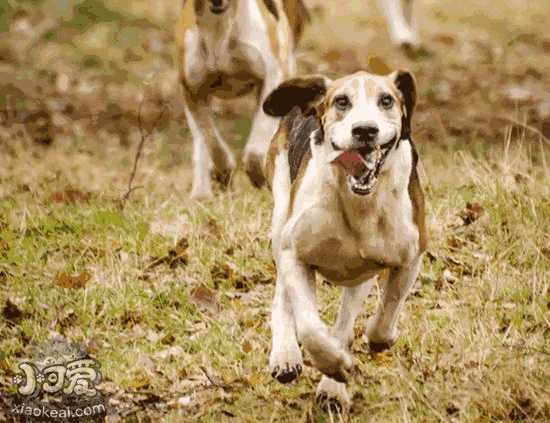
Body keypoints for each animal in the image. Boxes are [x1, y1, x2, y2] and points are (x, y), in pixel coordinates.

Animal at [176, 0, 308, 200]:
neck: (219, 27)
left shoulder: (271, 79)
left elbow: (255, 148)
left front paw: (258, 174)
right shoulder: (192, 91)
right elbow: (213, 144)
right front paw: (223, 174)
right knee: (201, 143)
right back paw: (201, 192)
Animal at [266, 70, 430, 410]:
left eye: (386, 100)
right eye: (342, 101)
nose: (365, 129)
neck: (359, 203)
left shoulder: (411, 254)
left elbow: (386, 314)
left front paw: (375, 342)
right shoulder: (294, 253)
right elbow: (310, 327)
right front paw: (332, 364)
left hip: (360, 276)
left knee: (346, 320)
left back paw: (333, 388)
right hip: (280, 210)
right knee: (282, 296)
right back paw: (286, 354)